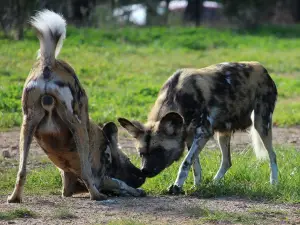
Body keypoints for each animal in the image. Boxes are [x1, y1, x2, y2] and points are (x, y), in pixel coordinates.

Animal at [7, 9, 145, 203]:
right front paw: (134, 191)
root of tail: (49, 64)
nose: (143, 175)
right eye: (129, 160)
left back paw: (14, 198)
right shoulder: (101, 177)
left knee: (21, 171)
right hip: (77, 125)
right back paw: (97, 196)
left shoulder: (68, 185)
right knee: (88, 175)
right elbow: (119, 183)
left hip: (27, 125)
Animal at [118, 61, 278, 193]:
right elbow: (195, 166)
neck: (178, 97)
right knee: (227, 161)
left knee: (273, 155)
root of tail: (263, 68)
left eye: (159, 150)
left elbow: (185, 162)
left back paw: (273, 182)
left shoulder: (203, 133)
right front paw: (196, 186)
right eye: (141, 153)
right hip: (223, 133)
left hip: (261, 124)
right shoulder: (189, 136)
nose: (144, 170)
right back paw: (214, 183)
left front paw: (177, 186)